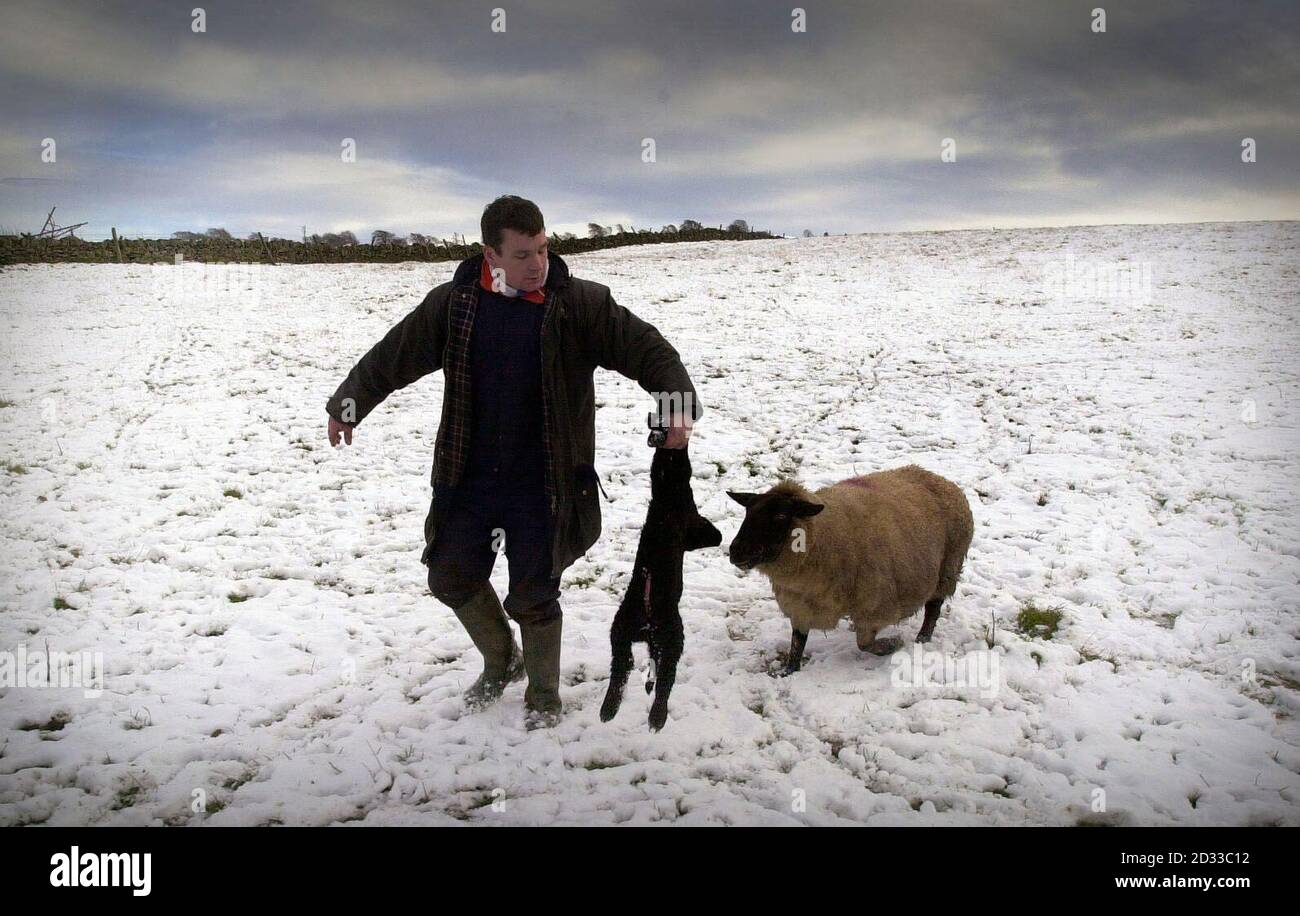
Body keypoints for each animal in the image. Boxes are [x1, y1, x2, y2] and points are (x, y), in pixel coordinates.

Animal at [728, 465, 972, 670]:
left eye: (780, 516)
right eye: (748, 512)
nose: (735, 551)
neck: (821, 537)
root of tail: (942, 480)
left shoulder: (875, 605)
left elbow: (864, 644)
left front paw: (892, 644)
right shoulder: (800, 603)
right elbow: (797, 643)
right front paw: (790, 671)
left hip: (947, 567)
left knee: (933, 607)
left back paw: (923, 638)